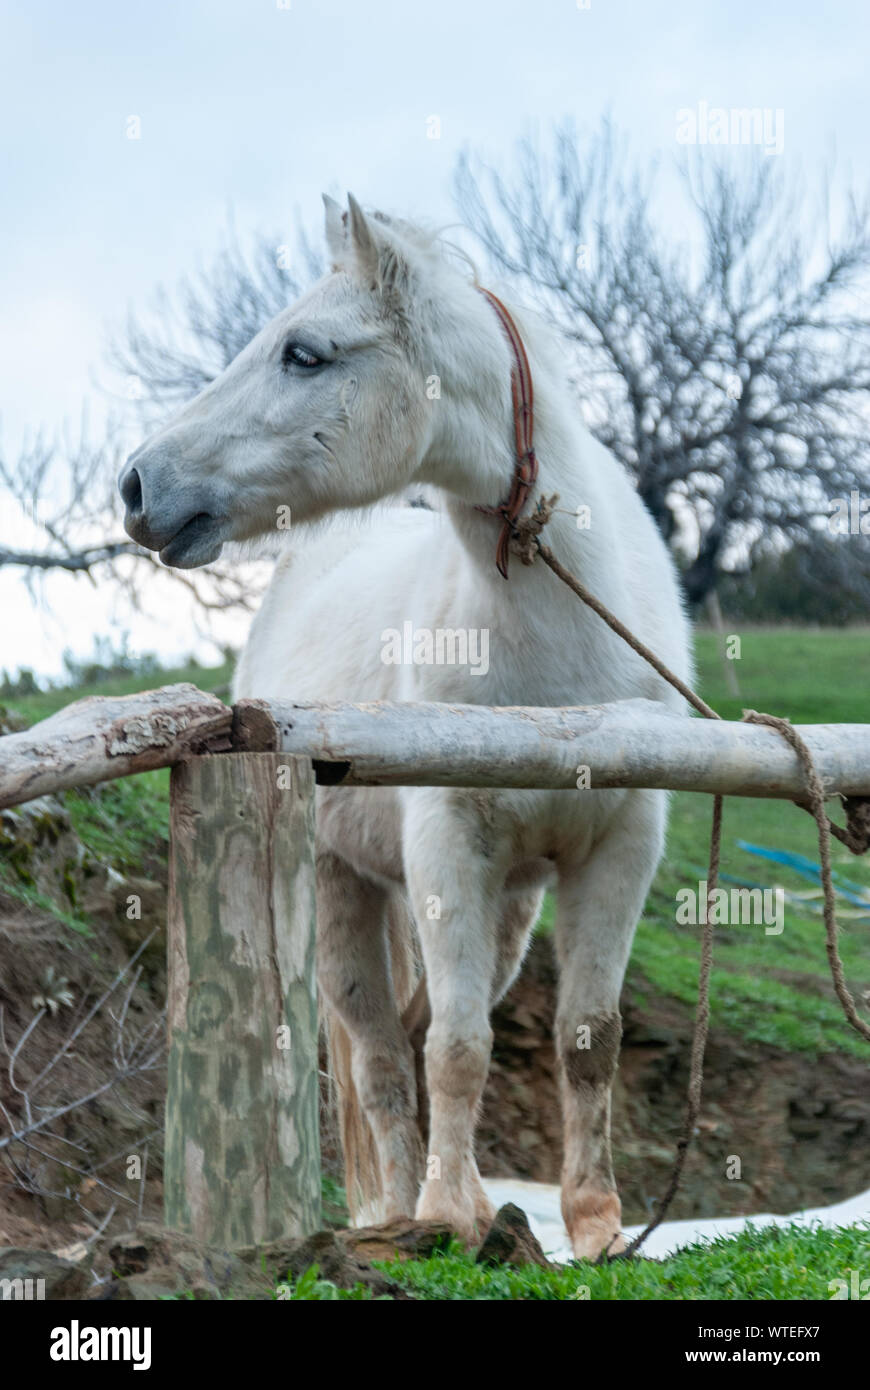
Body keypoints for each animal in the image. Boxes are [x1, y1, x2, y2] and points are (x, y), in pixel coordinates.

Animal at [119, 194, 692, 1258]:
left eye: (304, 352)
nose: (139, 485)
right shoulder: (445, 848)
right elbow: (456, 1050)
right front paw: (446, 1215)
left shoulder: (620, 850)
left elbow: (587, 1041)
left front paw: (596, 1225)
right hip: (345, 888)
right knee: (383, 1058)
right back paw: (397, 1213)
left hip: (507, 910)